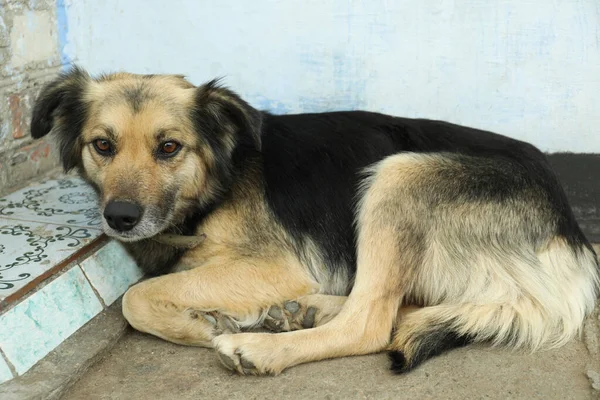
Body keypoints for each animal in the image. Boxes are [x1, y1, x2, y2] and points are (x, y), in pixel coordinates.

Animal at [31, 66, 600, 376]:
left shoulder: (276, 265)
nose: (120, 218)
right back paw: (306, 310)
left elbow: (136, 298)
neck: (217, 179)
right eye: (102, 146)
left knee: (371, 323)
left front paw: (208, 325)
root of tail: (568, 231)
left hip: (399, 173)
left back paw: (261, 346)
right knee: (399, 304)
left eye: (169, 147)